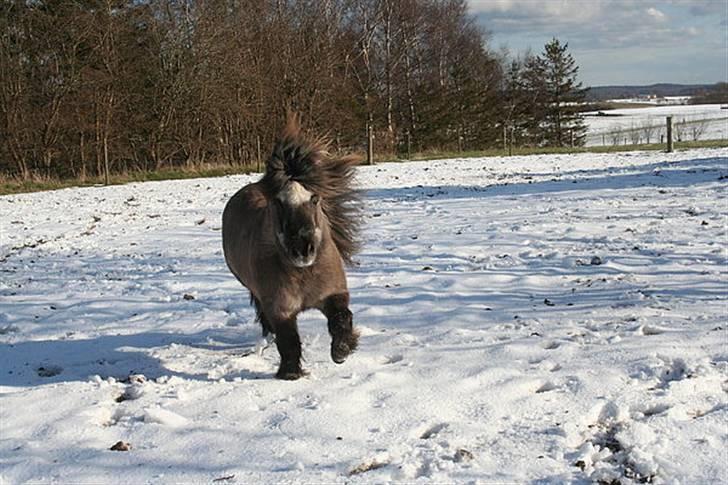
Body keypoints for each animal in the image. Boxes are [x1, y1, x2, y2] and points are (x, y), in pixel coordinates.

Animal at [219, 115, 362, 380]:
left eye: (314, 199)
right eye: (278, 203)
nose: (302, 249)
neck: (303, 273)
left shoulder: (332, 294)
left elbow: (341, 318)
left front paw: (341, 351)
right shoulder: (281, 309)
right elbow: (288, 340)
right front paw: (290, 373)